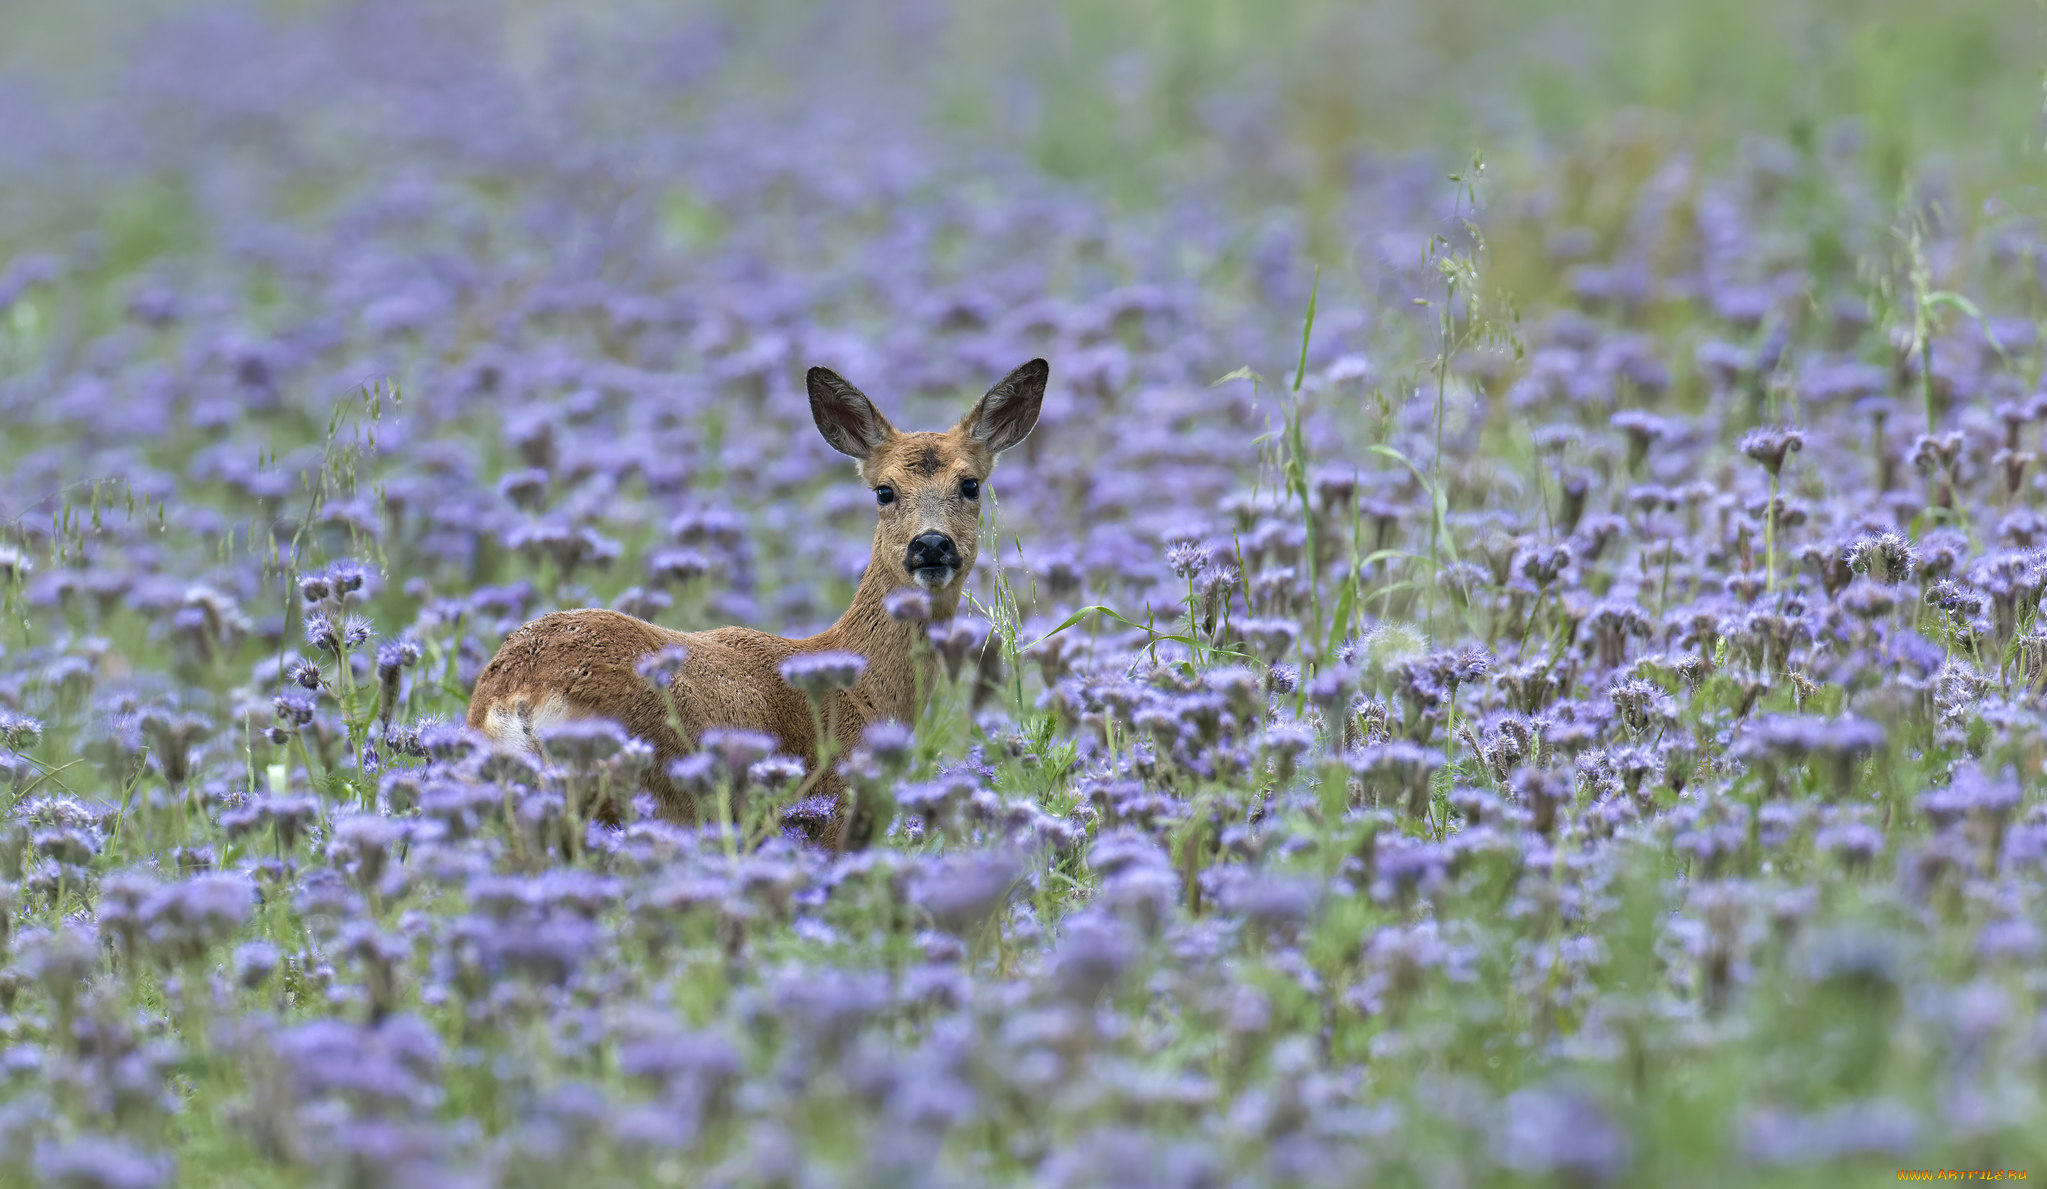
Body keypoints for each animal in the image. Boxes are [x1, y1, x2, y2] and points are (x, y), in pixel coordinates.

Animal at [462, 356, 1039, 847]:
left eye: (971, 484)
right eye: (884, 490)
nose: (932, 544)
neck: (866, 689)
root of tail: (518, 698)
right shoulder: (826, 821)